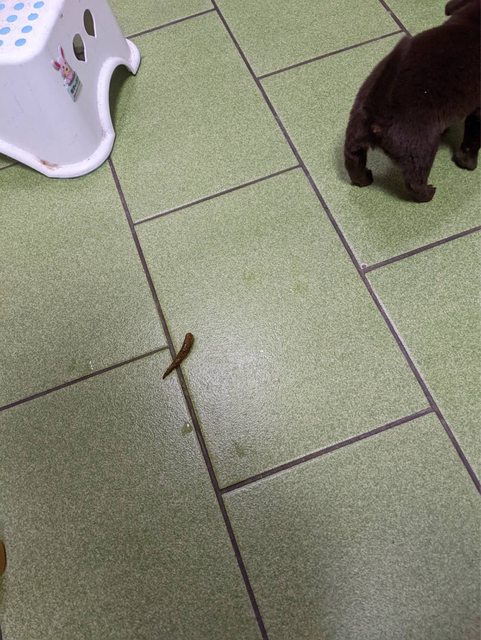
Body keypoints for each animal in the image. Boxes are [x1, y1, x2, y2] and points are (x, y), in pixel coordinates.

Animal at [344, 0, 480, 202]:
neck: (472, 23)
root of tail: (377, 111)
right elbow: (471, 142)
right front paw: (468, 164)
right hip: (420, 150)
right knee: (413, 183)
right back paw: (428, 193)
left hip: (354, 136)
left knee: (353, 163)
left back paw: (364, 178)